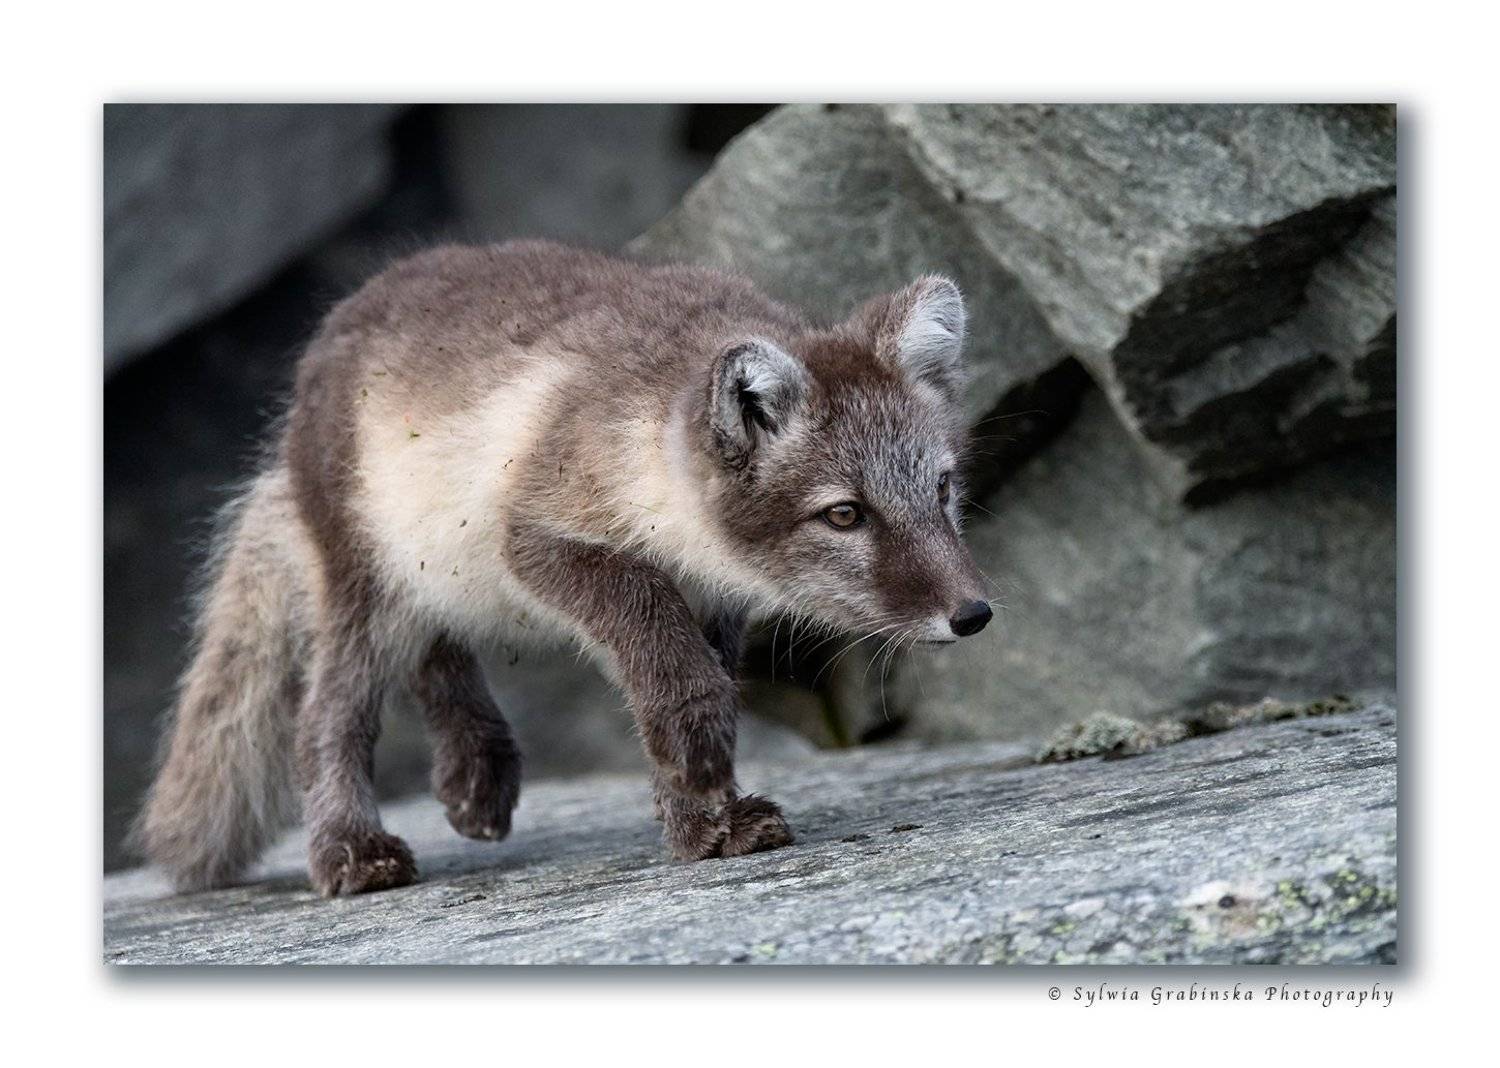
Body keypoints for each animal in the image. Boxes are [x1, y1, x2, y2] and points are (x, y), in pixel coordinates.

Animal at [137, 240, 994, 897]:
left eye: (942, 489)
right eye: (845, 514)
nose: (974, 614)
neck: (649, 436)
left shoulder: (714, 597)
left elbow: (687, 678)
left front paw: (702, 821)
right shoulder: (537, 538)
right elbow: (668, 655)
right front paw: (700, 775)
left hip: (426, 574)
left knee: (436, 646)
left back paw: (477, 774)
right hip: (368, 589)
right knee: (326, 718)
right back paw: (352, 851)